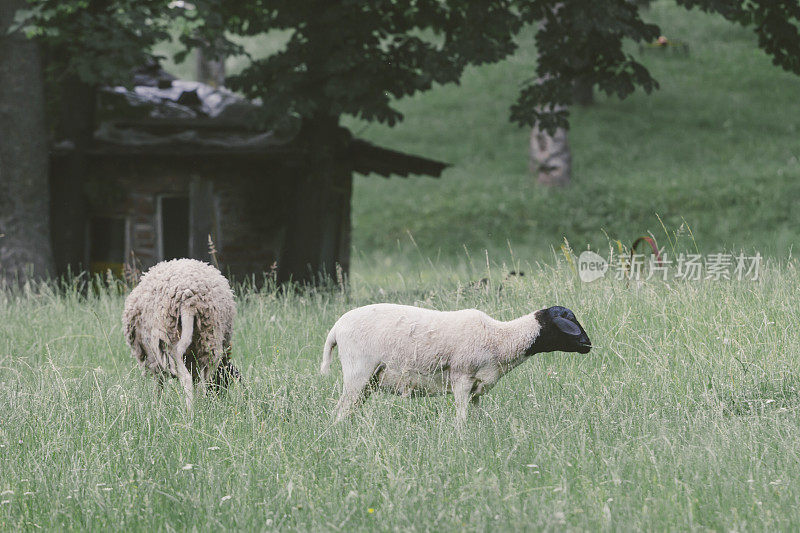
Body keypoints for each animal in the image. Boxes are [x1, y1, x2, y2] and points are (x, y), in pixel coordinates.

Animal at [122, 258, 241, 408]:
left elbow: (158, 383)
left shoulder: (154, 357)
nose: (219, 398)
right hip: (208, 341)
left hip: (169, 342)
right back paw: (200, 406)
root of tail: (189, 299)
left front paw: (156, 406)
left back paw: (189, 411)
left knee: (186, 378)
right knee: (201, 382)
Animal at [322, 304, 592, 420]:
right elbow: (461, 415)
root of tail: (335, 329)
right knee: (341, 409)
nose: (588, 345)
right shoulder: (462, 377)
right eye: (568, 321)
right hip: (358, 371)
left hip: (369, 380)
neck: (500, 338)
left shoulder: (477, 387)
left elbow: (475, 413)